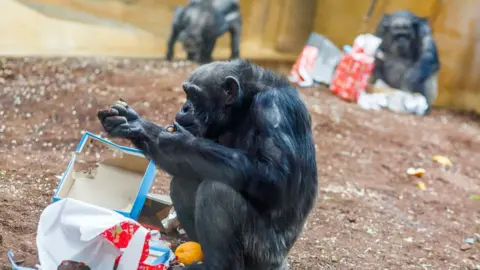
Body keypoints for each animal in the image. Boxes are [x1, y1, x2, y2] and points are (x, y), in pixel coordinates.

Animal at [97, 59, 318, 270]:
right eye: (186, 94)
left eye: (194, 95)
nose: (184, 107)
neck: (244, 106)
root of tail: (281, 262)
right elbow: (187, 165)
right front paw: (134, 123)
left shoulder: (274, 107)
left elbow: (275, 176)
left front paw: (182, 141)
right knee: (182, 182)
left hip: (263, 254)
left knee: (217, 192)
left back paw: (217, 265)